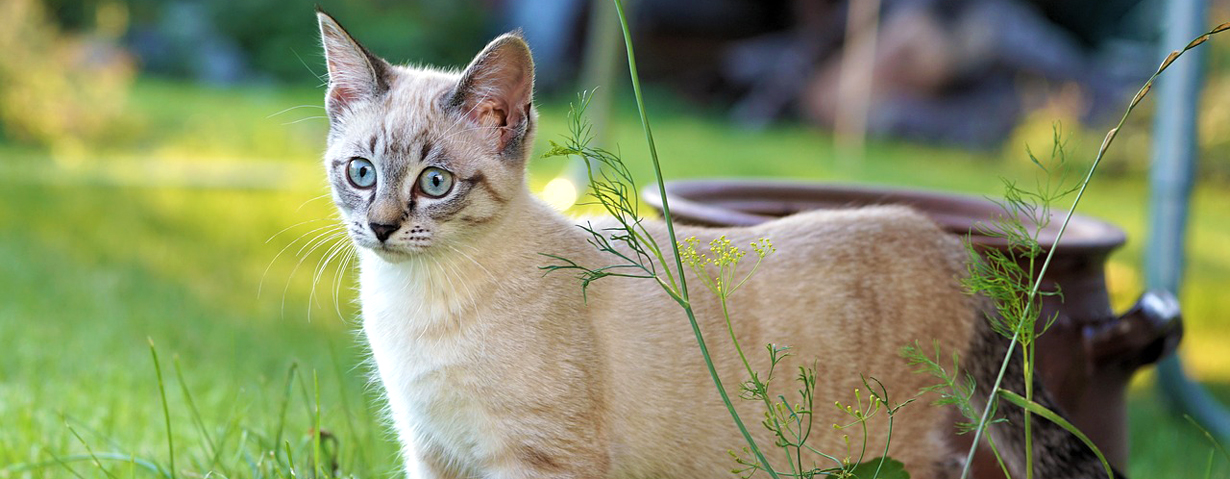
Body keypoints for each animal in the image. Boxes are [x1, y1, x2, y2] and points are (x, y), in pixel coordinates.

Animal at [314, 7, 1116, 477]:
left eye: (435, 183)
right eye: (361, 173)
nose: (380, 226)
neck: (416, 303)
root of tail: (947, 241)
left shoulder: (536, 460)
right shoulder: (434, 455)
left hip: (878, 453)